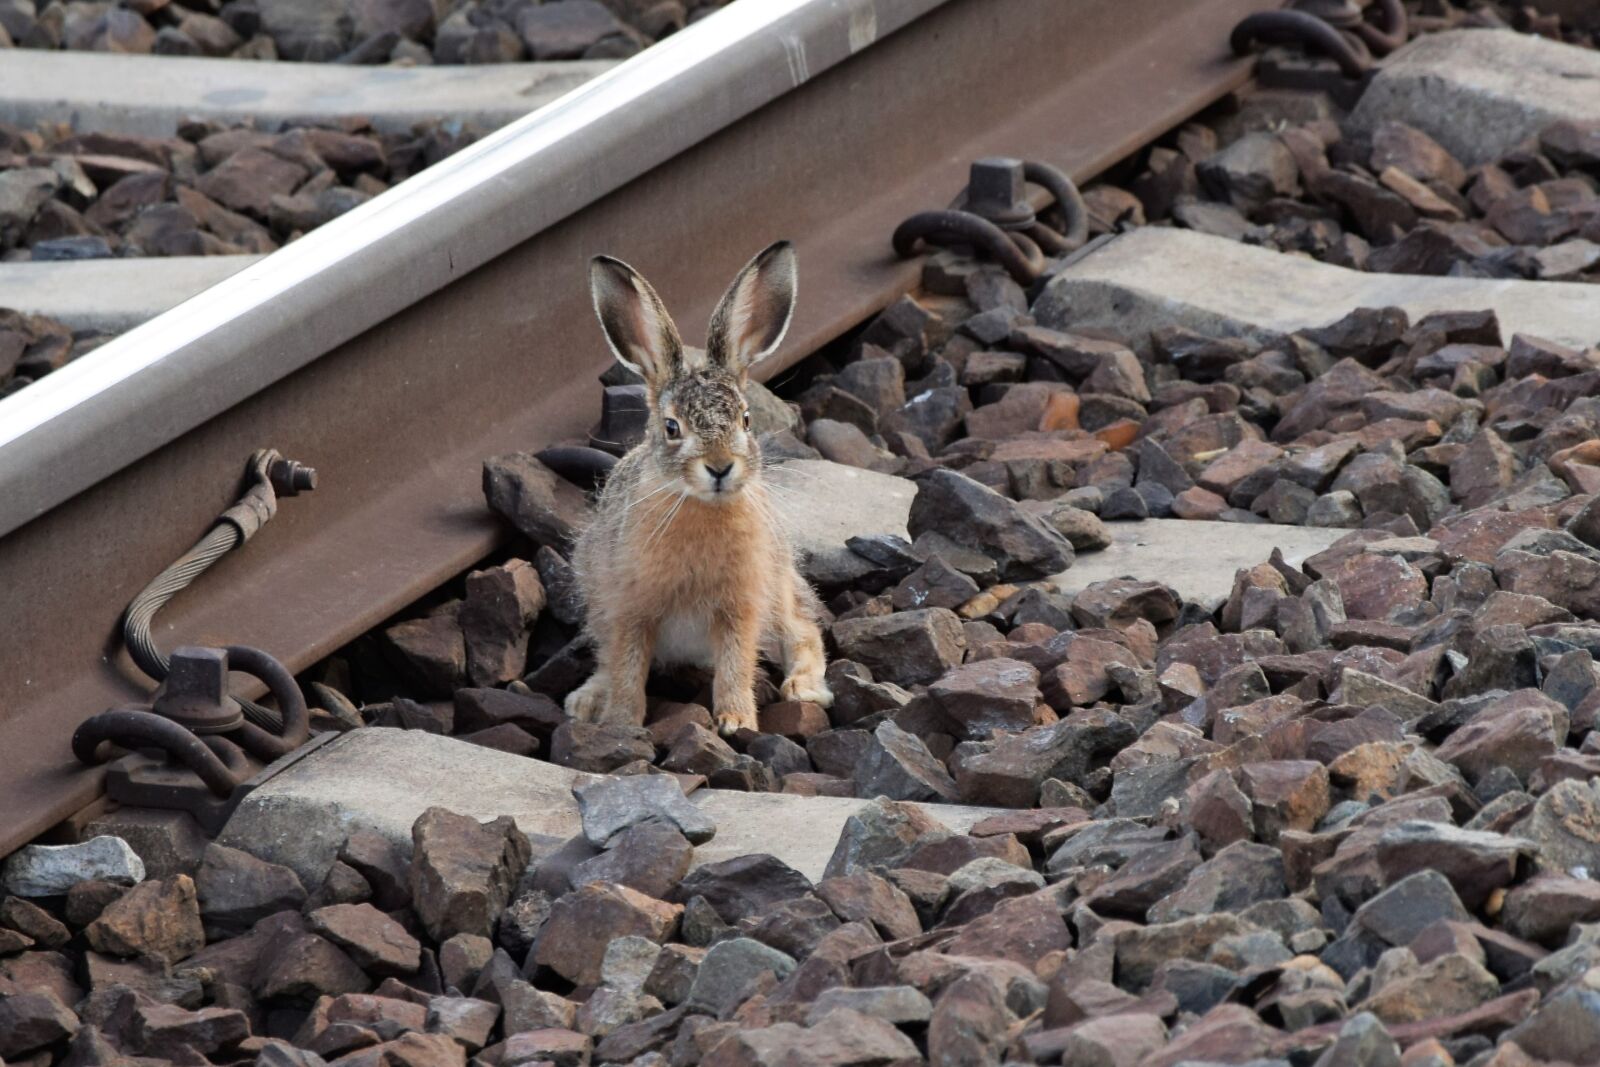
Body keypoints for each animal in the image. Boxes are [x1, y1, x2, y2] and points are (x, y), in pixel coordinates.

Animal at [565, 240, 833, 736]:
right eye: (672, 428)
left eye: (746, 419)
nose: (721, 467)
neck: (697, 507)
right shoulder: (629, 607)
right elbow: (627, 666)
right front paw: (621, 724)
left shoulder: (741, 605)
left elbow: (735, 663)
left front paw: (736, 721)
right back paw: (587, 700)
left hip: (780, 585)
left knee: (802, 630)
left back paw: (805, 689)